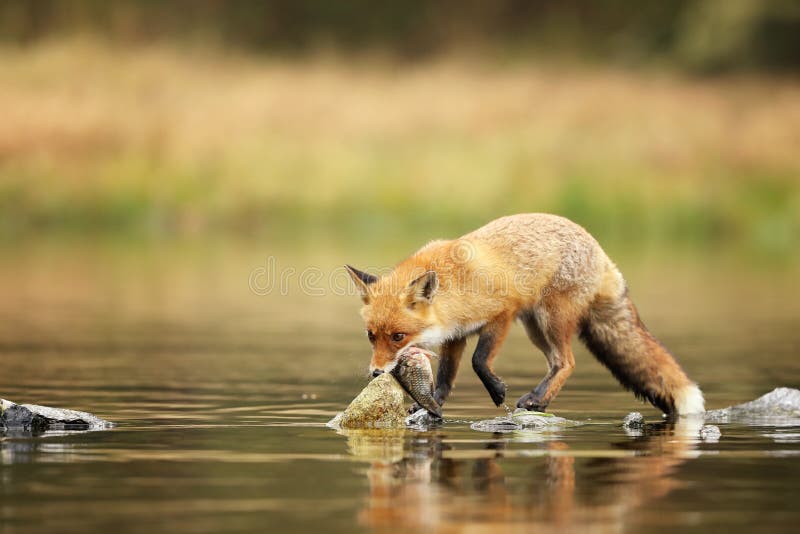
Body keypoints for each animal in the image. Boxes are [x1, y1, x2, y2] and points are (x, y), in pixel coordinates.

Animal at [346, 215, 704, 418]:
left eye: (398, 337)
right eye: (370, 336)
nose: (375, 373)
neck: (454, 288)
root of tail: (600, 249)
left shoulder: (502, 314)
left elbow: (479, 360)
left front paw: (497, 391)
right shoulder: (456, 335)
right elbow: (447, 376)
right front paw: (431, 403)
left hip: (550, 319)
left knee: (568, 362)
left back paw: (539, 401)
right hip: (535, 328)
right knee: (557, 363)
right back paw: (538, 399)